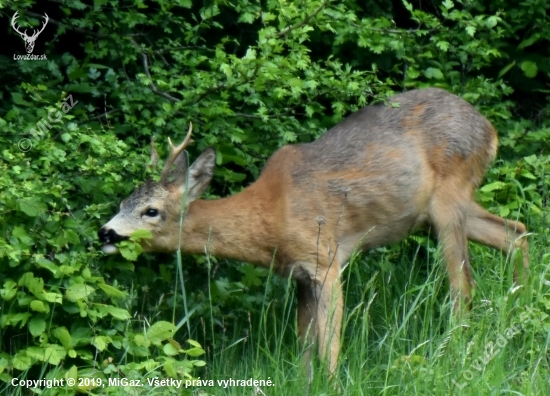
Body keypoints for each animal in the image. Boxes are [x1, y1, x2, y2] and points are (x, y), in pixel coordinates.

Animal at [98, 88, 532, 376]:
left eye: (151, 211)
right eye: (122, 201)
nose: (105, 233)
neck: (270, 216)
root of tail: (489, 129)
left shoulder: (326, 260)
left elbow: (330, 346)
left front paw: (335, 382)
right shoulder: (299, 276)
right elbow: (304, 349)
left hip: (448, 201)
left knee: (463, 285)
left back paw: (457, 349)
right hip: (444, 208)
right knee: (516, 232)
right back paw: (522, 314)